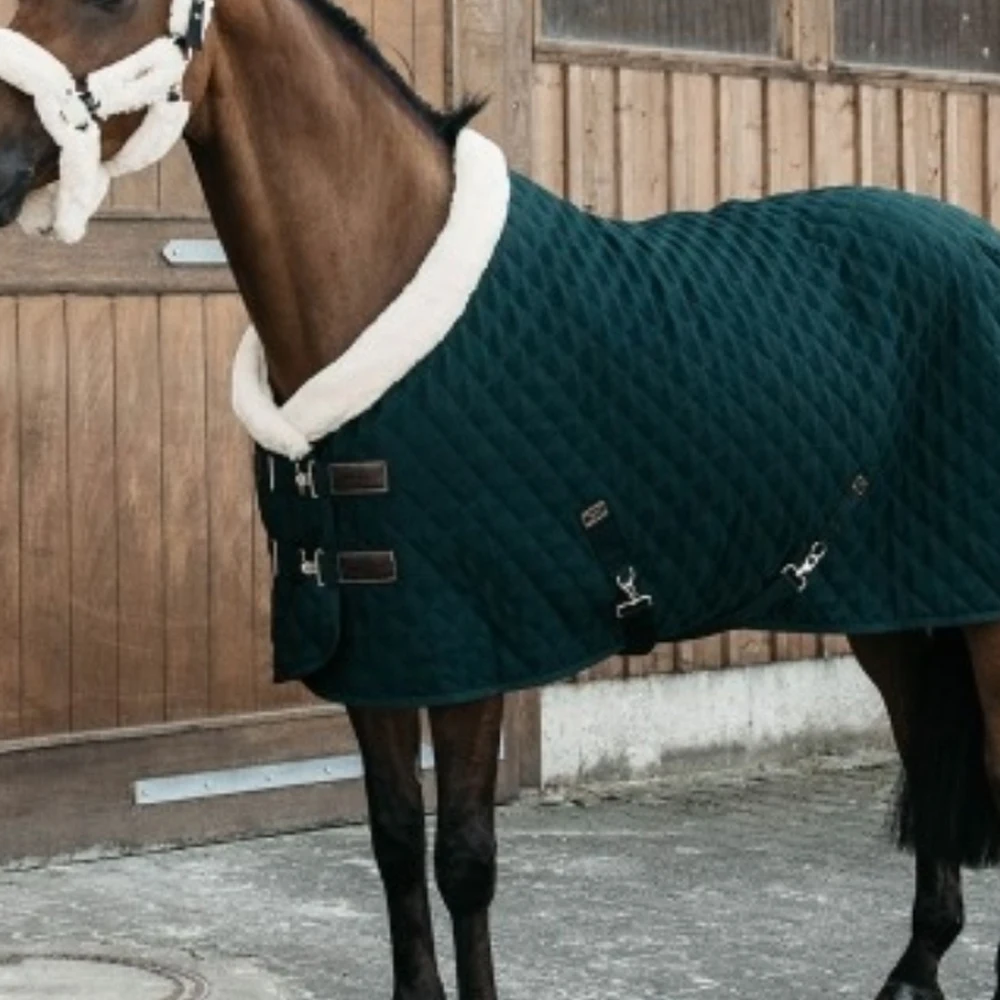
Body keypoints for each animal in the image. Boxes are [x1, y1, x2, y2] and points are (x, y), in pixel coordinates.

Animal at [1, 1, 1000, 999]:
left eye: (106, 4)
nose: (0, 162)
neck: (385, 286)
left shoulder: (469, 650)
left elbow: (464, 860)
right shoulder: (379, 652)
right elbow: (395, 844)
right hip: (895, 613)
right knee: (932, 758)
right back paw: (915, 967)